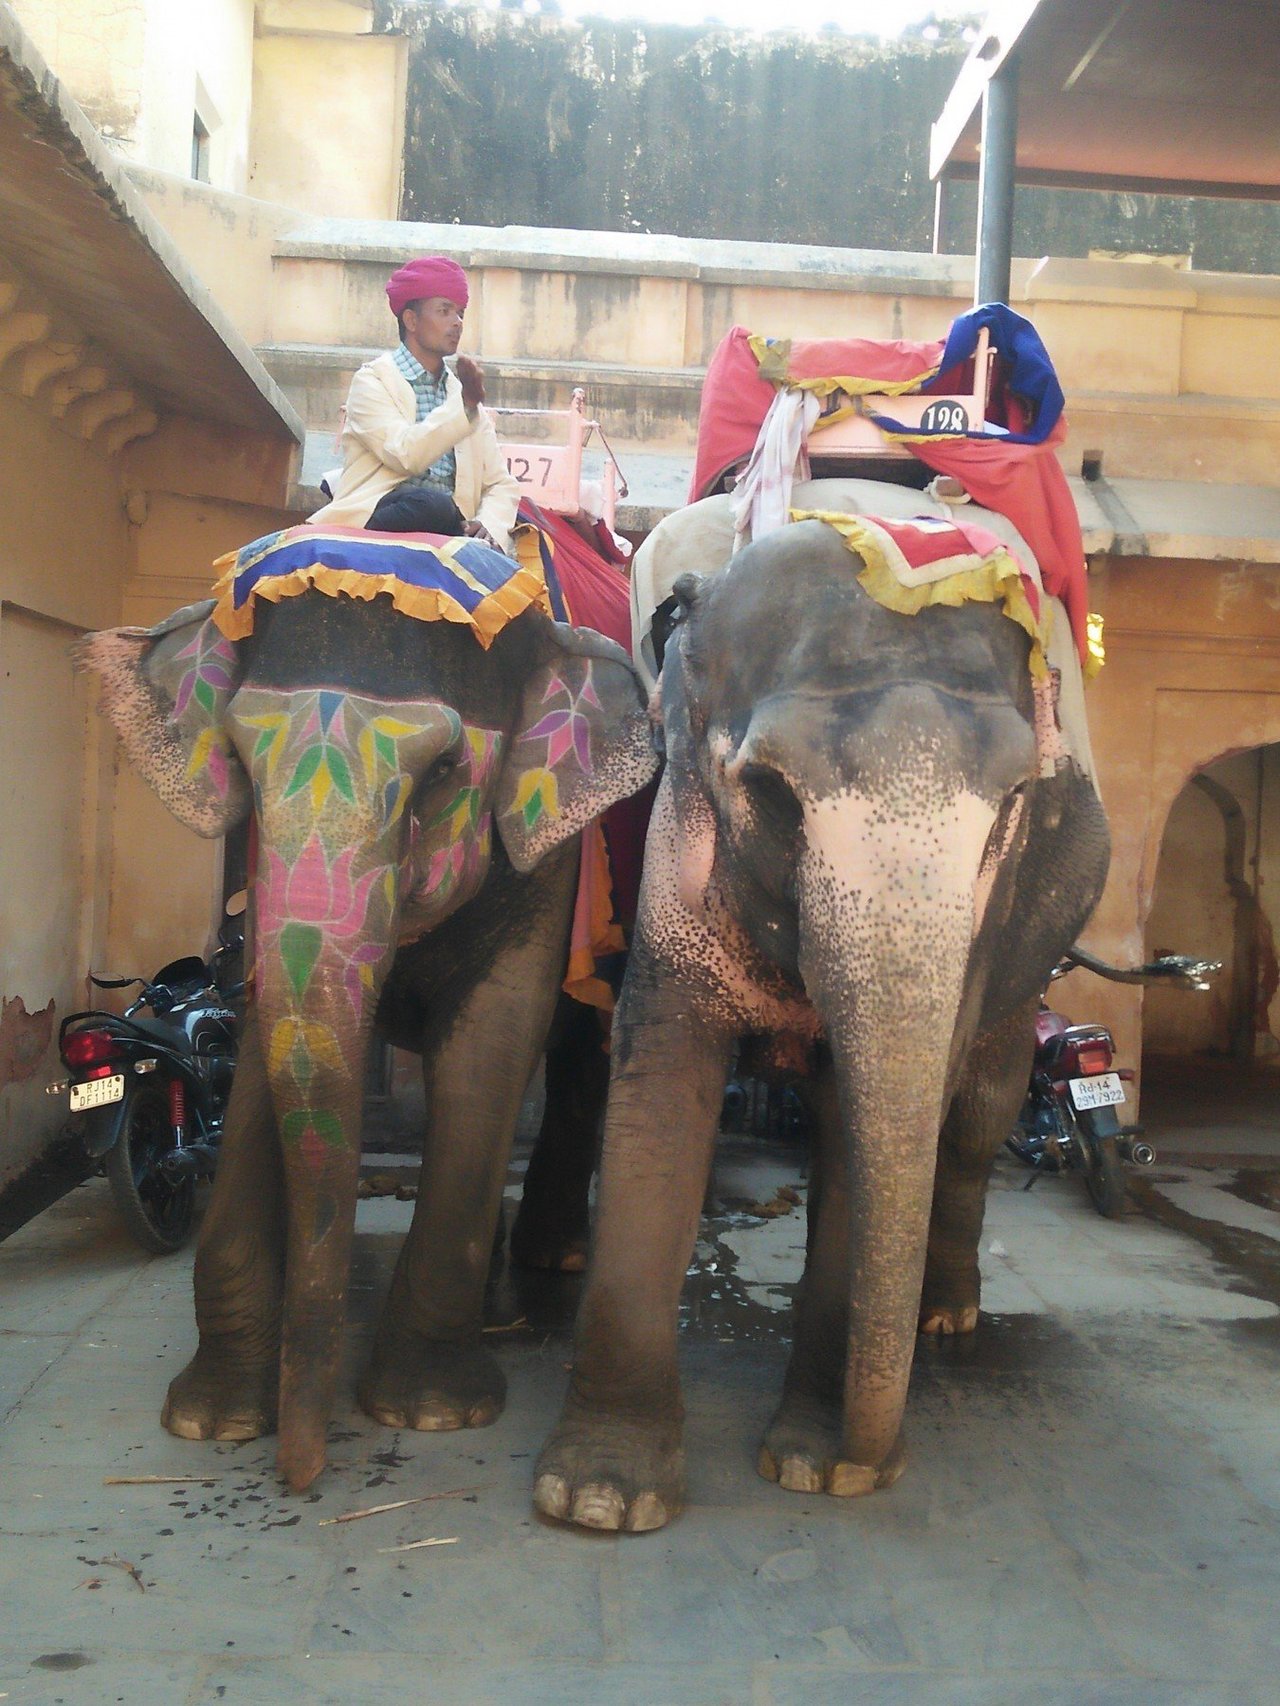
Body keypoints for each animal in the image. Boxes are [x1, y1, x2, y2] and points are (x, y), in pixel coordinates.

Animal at [84, 580, 655, 1487]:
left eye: (445, 771)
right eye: (238, 758)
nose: (299, 1476)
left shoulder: (545, 871)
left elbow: (492, 1045)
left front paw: (430, 1411)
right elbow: (265, 1043)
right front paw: (214, 1419)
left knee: (576, 1056)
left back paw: (549, 1258)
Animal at [532, 515, 1112, 1535]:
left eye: (1015, 801)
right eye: (773, 792)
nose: (870, 1458)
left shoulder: (985, 921)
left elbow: (863, 1123)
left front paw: (817, 1469)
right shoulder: (680, 836)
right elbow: (660, 1092)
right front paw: (598, 1497)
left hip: (1029, 968)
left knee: (978, 1121)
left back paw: (942, 1319)